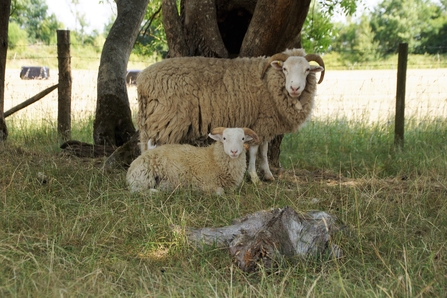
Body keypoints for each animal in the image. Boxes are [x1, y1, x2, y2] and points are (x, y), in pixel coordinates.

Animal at [126, 126, 260, 194]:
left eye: (243, 138)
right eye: (224, 138)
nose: (234, 152)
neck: (214, 158)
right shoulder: (203, 183)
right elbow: (220, 191)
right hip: (143, 177)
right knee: (137, 191)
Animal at [136, 48, 326, 184]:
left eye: (307, 70)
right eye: (285, 69)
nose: (295, 88)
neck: (269, 82)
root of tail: (142, 81)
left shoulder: (265, 123)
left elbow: (264, 152)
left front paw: (268, 174)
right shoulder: (260, 123)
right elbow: (255, 151)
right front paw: (254, 177)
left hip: (151, 120)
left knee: (144, 145)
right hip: (166, 119)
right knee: (154, 146)